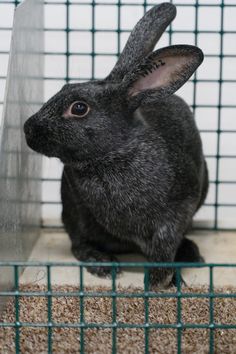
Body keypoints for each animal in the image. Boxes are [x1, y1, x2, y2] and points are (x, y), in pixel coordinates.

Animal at [24, 3, 208, 288]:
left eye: (79, 108)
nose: (28, 129)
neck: (112, 156)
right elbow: (78, 243)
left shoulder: (177, 213)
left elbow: (164, 248)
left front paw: (160, 283)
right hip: (73, 210)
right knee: (78, 242)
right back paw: (102, 263)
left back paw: (191, 254)